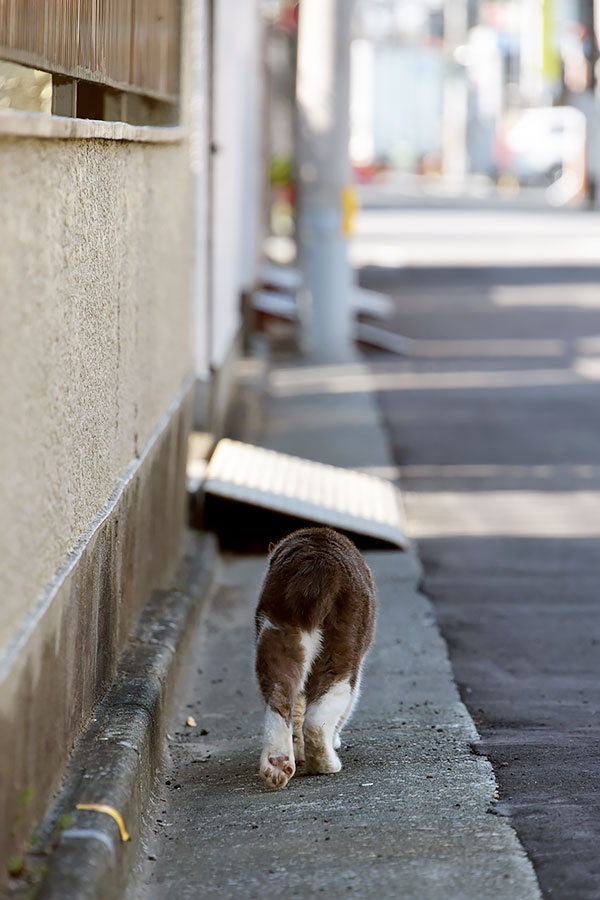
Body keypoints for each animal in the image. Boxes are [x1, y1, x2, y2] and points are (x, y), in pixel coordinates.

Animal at [255, 528, 378, 788]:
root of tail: (316, 565)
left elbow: (297, 710)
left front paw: (298, 752)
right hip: (343, 643)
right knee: (319, 715)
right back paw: (325, 765)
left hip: (277, 632)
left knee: (279, 697)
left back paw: (277, 765)